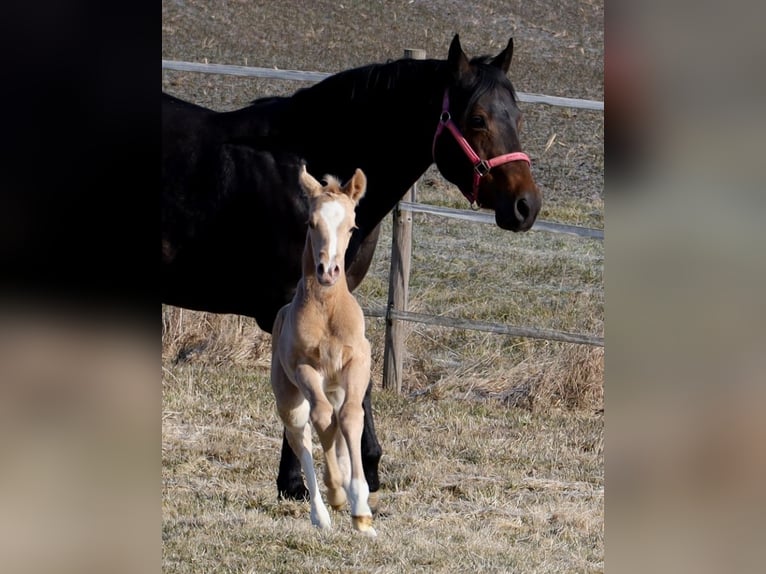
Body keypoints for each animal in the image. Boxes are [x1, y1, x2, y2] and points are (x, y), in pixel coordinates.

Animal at [272, 166, 376, 540]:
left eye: (352, 227)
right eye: (311, 223)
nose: (328, 271)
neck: (328, 310)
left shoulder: (358, 362)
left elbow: (350, 418)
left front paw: (362, 511)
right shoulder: (304, 367)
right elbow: (322, 419)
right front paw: (338, 494)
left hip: (337, 386)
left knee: (338, 425)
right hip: (289, 399)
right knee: (301, 437)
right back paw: (321, 513)